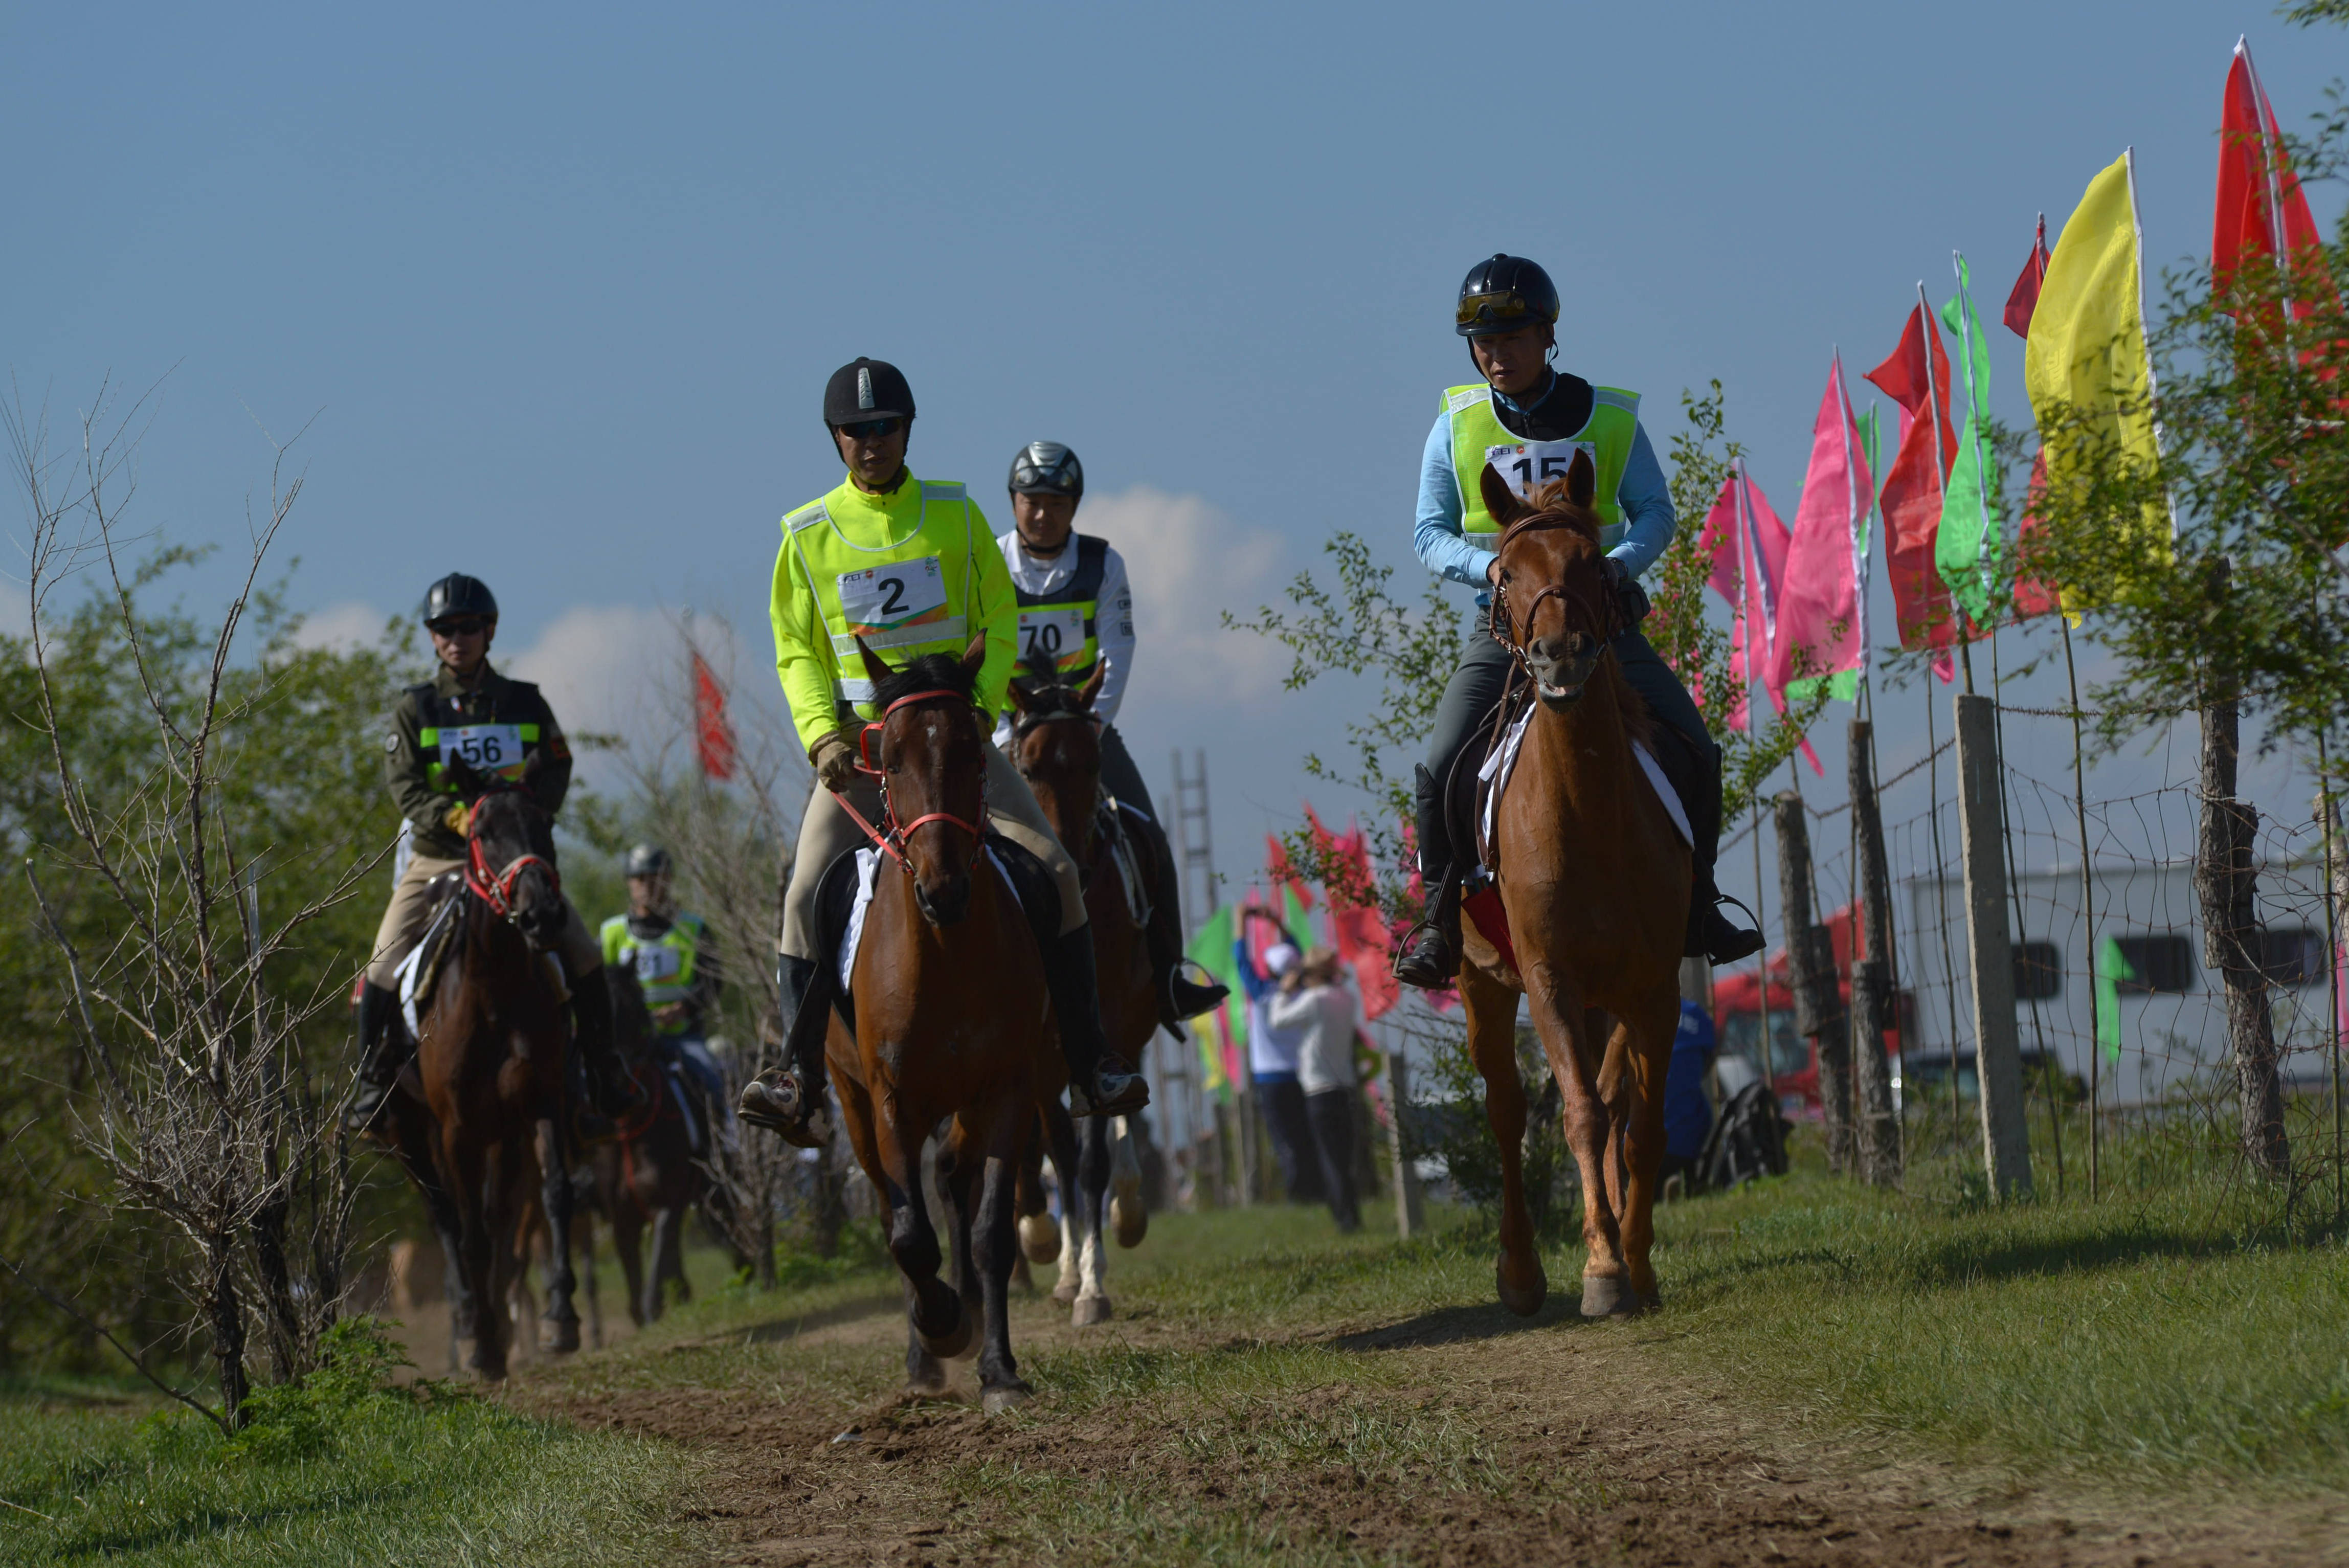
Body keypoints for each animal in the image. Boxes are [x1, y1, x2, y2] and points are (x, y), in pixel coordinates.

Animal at [375, 765, 583, 1380]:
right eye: (483, 833)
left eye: (544, 824)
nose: (541, 915)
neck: (493, 992)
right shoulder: (457, 1132)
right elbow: (467, 1234)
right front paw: (482, 1345)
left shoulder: (540, 1103)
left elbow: (555, 1195)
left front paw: (560, 1318)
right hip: (412, 1135)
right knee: (448, 1220)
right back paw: (472, 1323)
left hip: (503, 1136)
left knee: (498, 1219)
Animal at [826, 629, 1047, 1418]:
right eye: (888, 759)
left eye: (972, 752)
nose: (943, 889)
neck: (948, 953)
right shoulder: (894, 1101)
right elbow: (909, 1237)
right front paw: (941, 1326)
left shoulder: (1009, 1091)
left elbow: (989, 1236)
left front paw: (999, 1369)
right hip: (857, 1106)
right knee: (897, 1209)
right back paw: (928, 1348)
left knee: (954, 1182)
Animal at [1466, 455, 1691, 1324]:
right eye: (1503, 574)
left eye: (1594, 563)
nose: (1559, 655)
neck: (1587, 818)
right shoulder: (1550, 980)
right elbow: (1582, 1115)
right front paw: (1599, 1269)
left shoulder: (1654, 988)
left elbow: (1642, 1127)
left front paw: (1638, 1263)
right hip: (1484, 985)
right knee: (1505, 1114)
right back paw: (1520, 1274)